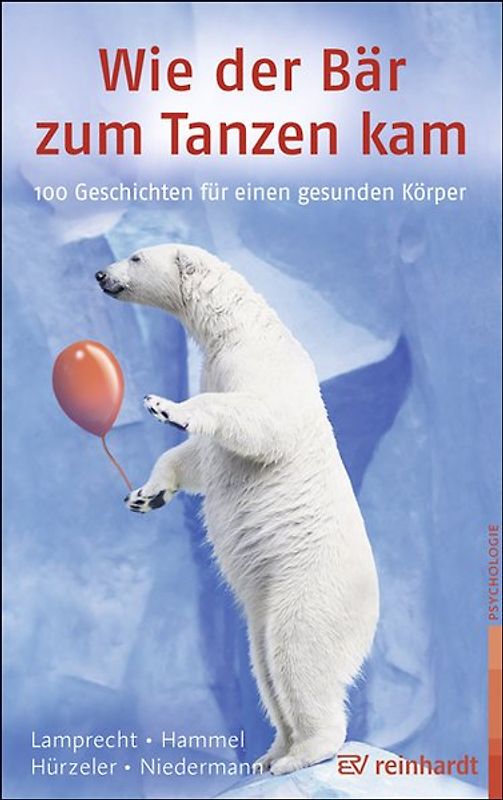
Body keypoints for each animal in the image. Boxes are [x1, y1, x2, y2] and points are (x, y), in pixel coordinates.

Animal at [96, 244, 379, 775]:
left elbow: (260, 425)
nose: (101, 273)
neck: (238, 325)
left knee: (297, 654)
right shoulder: (217, 365)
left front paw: (164, 406)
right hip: (265, 606)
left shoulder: (258, 367)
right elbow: (196, 460)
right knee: (264, 664)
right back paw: (272, 753)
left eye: (136, 256)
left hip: (308, 588)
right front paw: (145, 495)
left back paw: (302, 753)